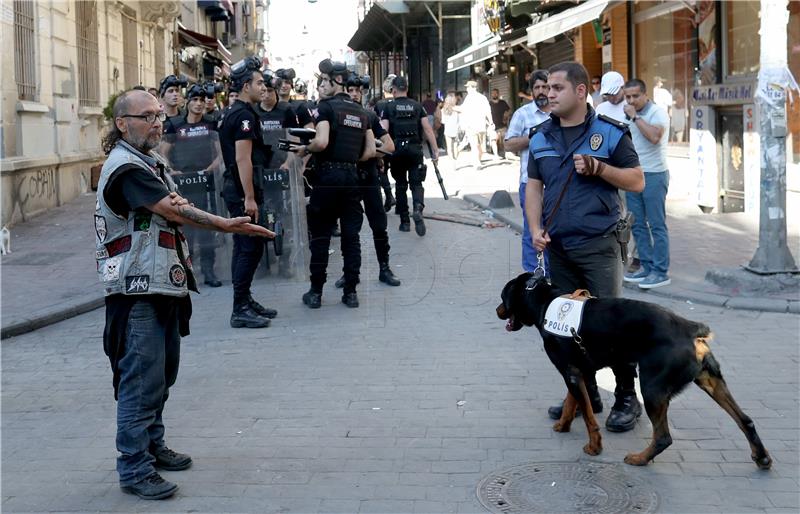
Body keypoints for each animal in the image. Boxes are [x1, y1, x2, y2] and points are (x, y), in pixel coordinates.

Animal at [496, 272, 772, 468]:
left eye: (502, 297)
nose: (498, 311)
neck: (545, 301)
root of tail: (690, 328)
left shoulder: (570, 372)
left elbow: (588, 417)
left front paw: (594, 447)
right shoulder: (578, 371)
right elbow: (571, 403)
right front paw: (563, 424)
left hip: (652, 389)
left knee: (663, 437)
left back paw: (640, 459)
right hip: (711, 381)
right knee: (745, 420)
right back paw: (761, 457)